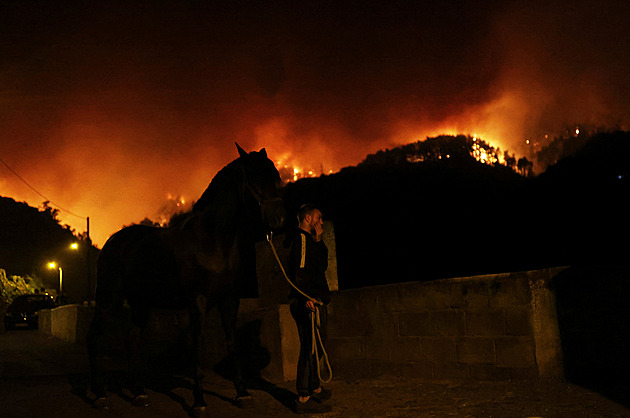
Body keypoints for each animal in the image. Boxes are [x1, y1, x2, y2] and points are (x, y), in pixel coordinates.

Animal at [86, 144, 286, 414]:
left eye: (275, 177)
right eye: (254, 177)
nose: (278, 219)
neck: (212, 241)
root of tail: (112, 242)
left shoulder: (229, 300)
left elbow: (233, 344)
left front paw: (242, 394)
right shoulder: (197, 302)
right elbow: (197, 347)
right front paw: (199, 401)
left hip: (140, 304)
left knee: (132, 341)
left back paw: (139, 393)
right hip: (109, 298)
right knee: (95, 337)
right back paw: (99, 395)